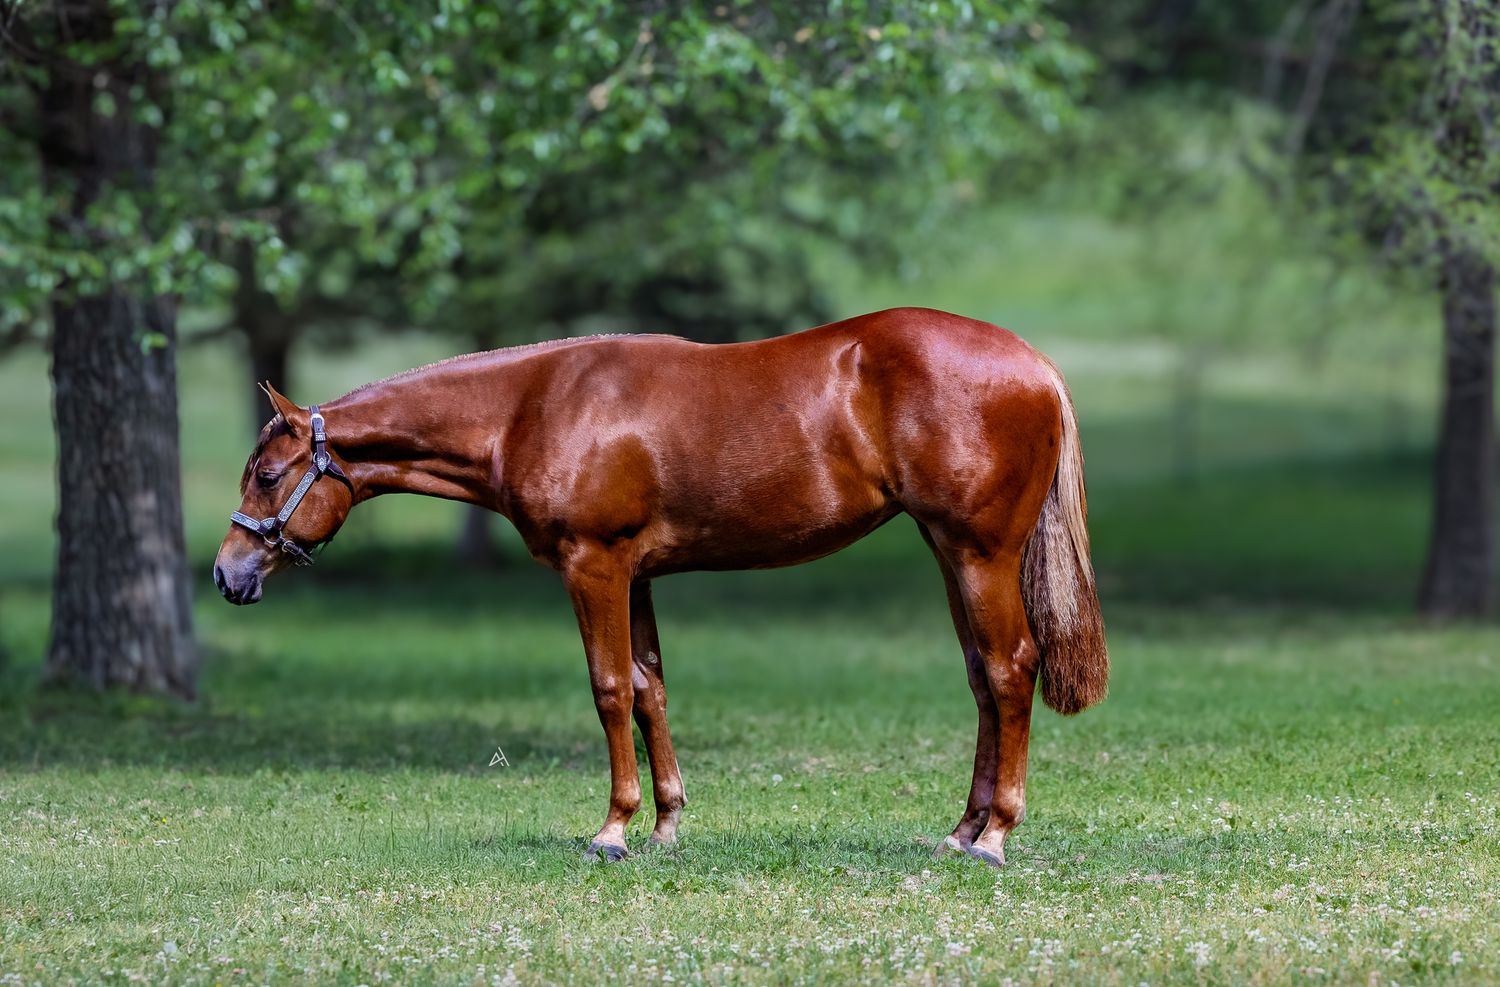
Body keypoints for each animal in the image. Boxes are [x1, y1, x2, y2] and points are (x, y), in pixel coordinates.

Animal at [214, 307, 1108, 866]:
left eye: (266, 475)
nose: (227, 572)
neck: (531, 407)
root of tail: (1035, 365)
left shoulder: (595, 565)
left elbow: (609, 688)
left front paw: (612, 829)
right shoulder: (634, 574)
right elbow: (650, 689)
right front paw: (666, 825)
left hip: (978, 552)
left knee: (1010, 668)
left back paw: (994, 837)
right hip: (949, 553)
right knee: (983, 680)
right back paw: (960, 831)